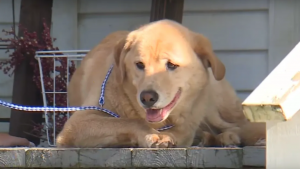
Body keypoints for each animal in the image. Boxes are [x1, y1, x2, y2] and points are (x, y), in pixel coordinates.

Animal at [55, 19, 264, 147]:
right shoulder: (78, 123)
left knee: (244, 125)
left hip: (219, 107)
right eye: (139, 65)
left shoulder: (187, 126)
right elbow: (127, 121)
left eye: (171, 65)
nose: (147, 97)